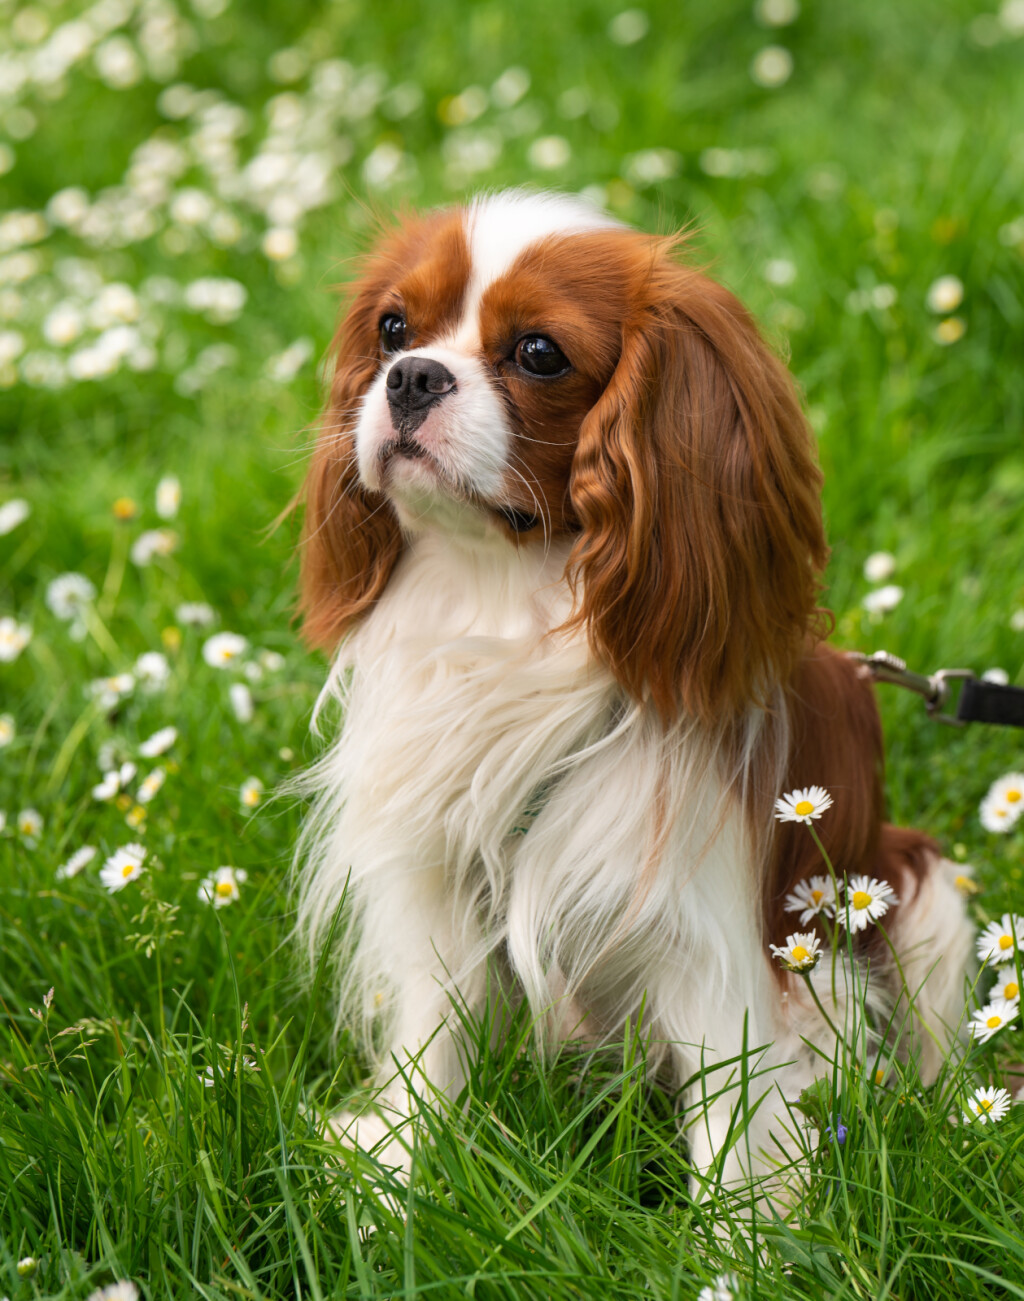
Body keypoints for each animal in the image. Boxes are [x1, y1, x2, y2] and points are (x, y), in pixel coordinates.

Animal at [292, 188, 973, 1191]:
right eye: (392, 328)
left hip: (920, 897)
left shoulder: (709, 941)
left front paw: (741, 1234)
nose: (412, 377)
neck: (504, 593)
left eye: (540, 352)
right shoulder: (440, 887)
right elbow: (432, 1037)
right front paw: (398, 1171)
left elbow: (731, 1115)